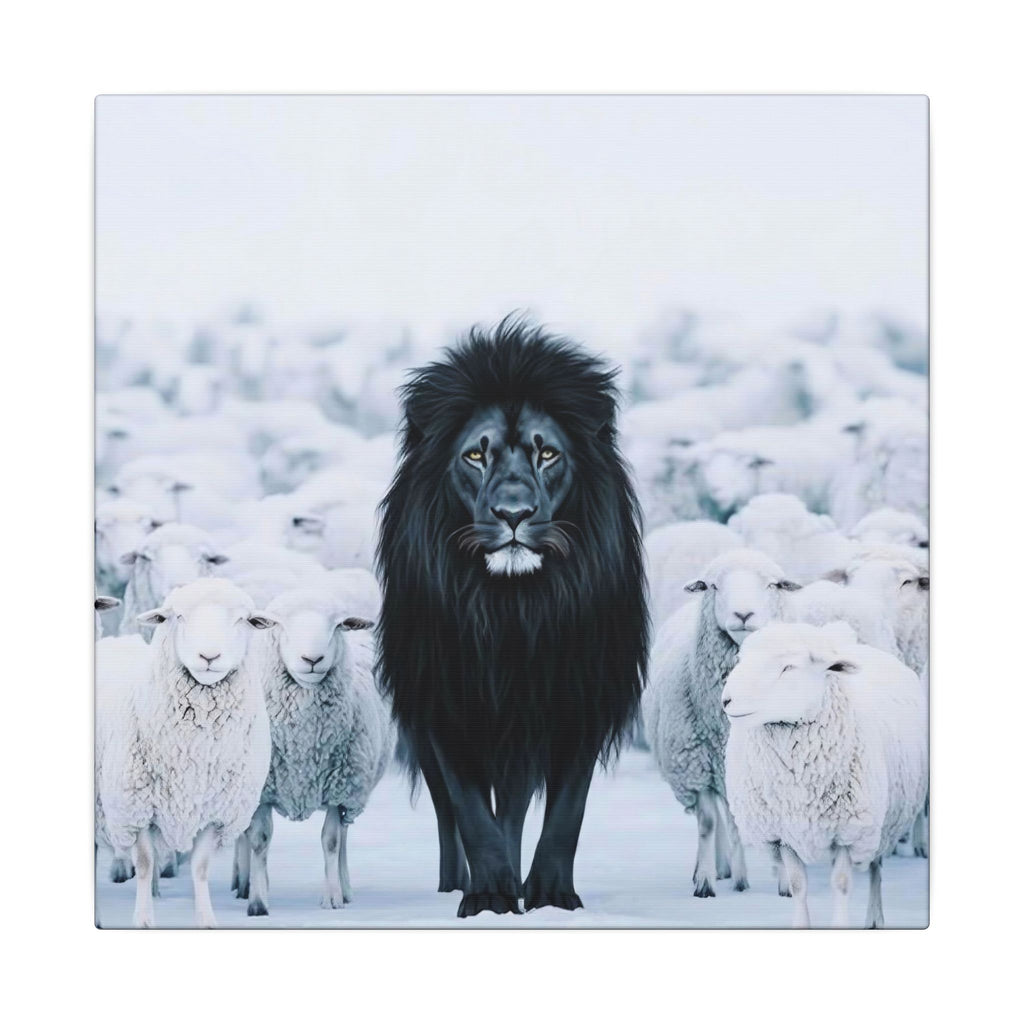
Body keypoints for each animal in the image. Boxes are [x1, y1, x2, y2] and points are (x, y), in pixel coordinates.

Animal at [96, 579, 274, 927]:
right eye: (177, 616)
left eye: (243, 620)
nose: (209, 656)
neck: (194, 751)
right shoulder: (136, 808)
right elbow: (145, 862)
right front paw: (143, 921)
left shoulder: (215, 812)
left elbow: (200, 867)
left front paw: (206, 921)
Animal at [231, 585, 394, 915]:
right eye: (279, 624)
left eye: (338, 625)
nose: (312, 659)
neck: (304, 745)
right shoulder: (262, 790)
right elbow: (259, 839)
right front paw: (257, 901)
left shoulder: (338, 788)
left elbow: (331, 841)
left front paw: (332, 898)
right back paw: (245, 884)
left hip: (353, 792)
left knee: (343, 836)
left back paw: (345, 889)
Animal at [376, 317, 648, 917]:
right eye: (475, 457)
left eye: (547, 455)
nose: (514, 514)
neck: (515, 611)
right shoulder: (446, 703)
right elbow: (472, 814)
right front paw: (488, 897)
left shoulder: (578, 699)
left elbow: (565, 813)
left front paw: (550, 897)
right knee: (450, 816)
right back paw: (456, 883)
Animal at [643, 549, 802, 897]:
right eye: (713, 586)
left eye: (772, 584)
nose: (743, 614)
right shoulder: (695, 766)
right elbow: (707, 822)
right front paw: (704, 881)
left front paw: (786, 884)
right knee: (718, 815)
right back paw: (724, 869)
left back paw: (739, 876)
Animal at [722, 621, 928, 927]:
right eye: (742, 660)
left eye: (788, 667)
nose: (726, 700)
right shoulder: (783, 834)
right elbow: (798, 885)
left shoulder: (847, 833)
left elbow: (841, 883)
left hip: (879, 827)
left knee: (876, 870)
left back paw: (875, 919)